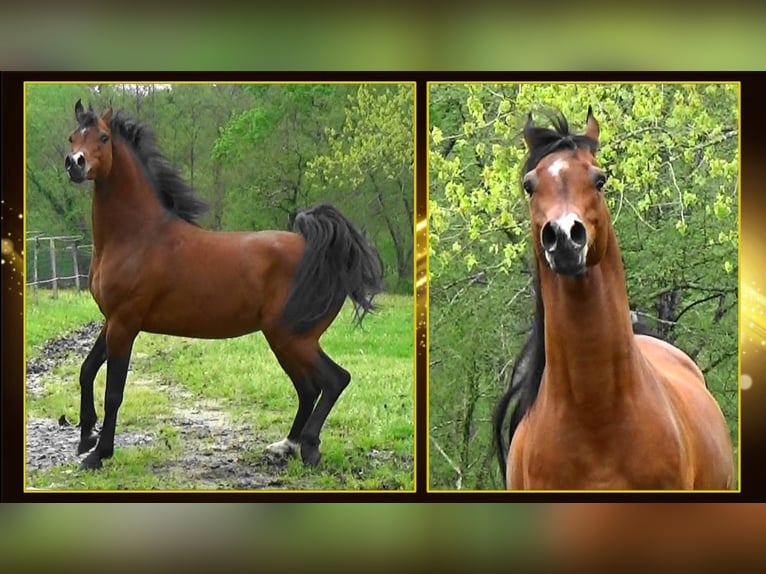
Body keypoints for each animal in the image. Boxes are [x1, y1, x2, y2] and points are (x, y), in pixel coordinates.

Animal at [63, 99, 382, 471]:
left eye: (102, 137)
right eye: (73, 137)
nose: (75, 164)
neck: (138, 236)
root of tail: (320, 250)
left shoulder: (125, 323)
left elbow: (114, 392)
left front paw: (99, 453)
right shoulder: (112, 320)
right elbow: (87, 370)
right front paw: (86, 438)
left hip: (294, 338)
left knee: (334, 381)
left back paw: (309, 448)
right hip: (286, 340)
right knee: (308, 388)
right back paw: (285, 446)